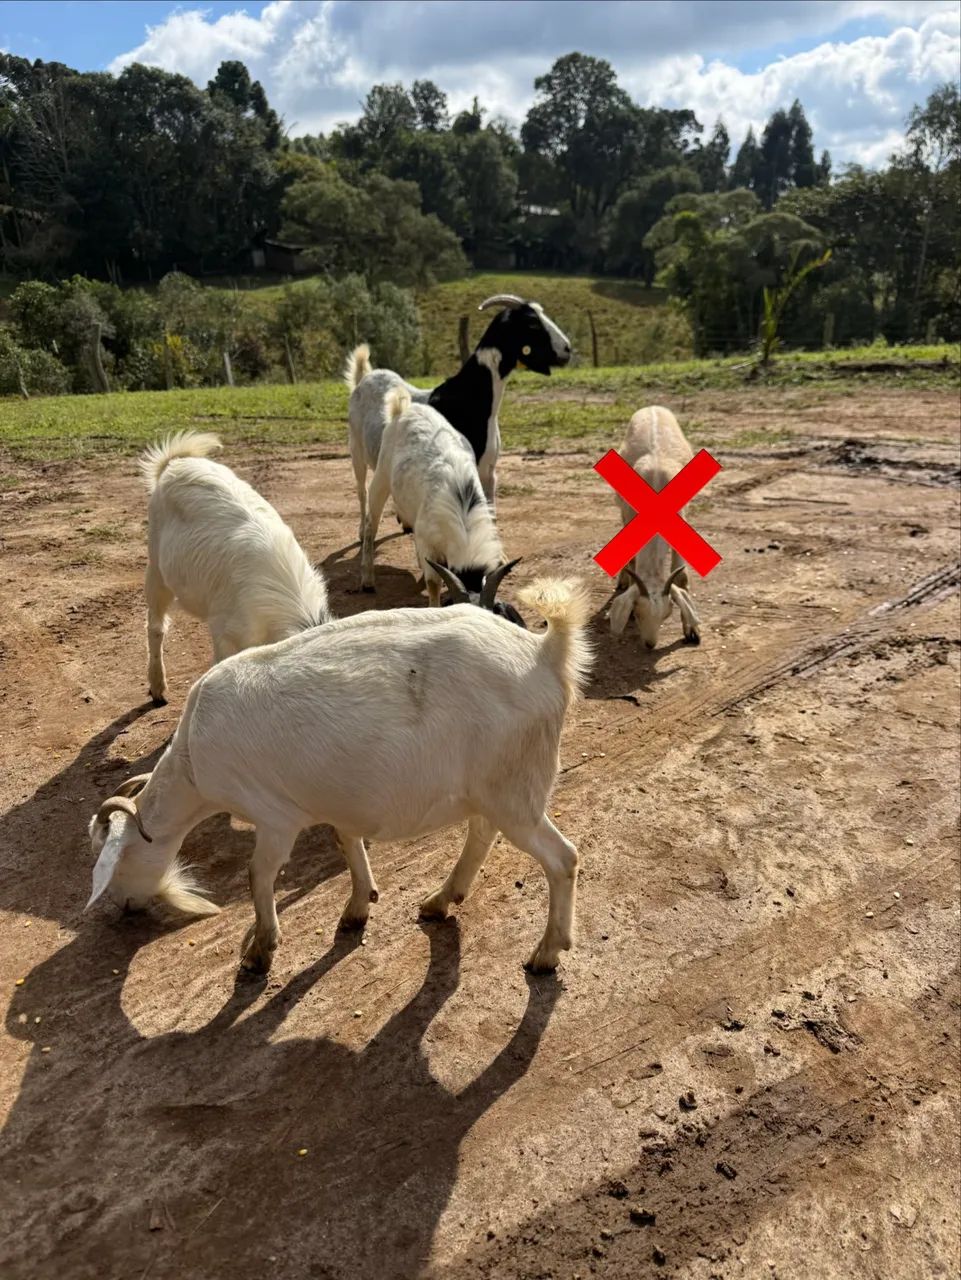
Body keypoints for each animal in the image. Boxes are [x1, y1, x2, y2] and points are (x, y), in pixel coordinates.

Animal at [86, 578, 592, 975]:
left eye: (117, 864)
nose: (126, 908)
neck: (192, 759)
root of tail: (545, 653)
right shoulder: (336, 797)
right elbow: (345, 841)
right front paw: (358, 906)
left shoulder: (274, 815)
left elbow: (258, 874)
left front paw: (260, 950)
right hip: (492, 785)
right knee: (483, 831)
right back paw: (442, 899)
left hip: (515, 787)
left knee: (562, 859)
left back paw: (547, 952)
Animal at [346, 294, 571, 533]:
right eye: (532, 323)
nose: (567, 349)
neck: (471, 399)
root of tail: (364, 378)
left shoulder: (488, 471)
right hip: (356, 449)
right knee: (362, 490)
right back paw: (362, 529)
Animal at [359, 388, 522, 619]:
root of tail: (404, 409)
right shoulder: (429, 544)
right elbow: (433, 583)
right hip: (380, 477)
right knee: (370, 525)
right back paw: (367, 580)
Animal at [607, 407, 701, 648]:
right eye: (638, 613)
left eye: (667, 614)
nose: (650, 644)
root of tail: (653, 408)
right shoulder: (630, 516)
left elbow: (681, 577)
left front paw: (692, 631)